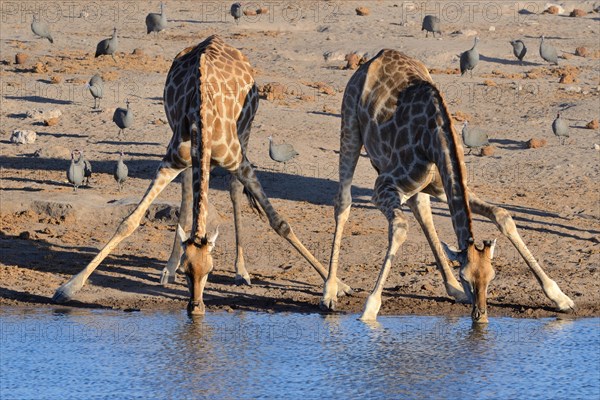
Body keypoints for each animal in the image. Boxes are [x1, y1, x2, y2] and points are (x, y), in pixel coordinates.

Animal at [52, 36, 352, 314]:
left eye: (210, 270)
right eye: (188, 271)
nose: (195, 307)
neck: (203, 121)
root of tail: (216, 38)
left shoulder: (239, 161)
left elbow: (280, 222)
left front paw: (337, 286)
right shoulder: (171, 160)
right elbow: (129, 222)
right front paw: (68, 287)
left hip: (245, 131)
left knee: (233, 189)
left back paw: (241, 270)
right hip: (184, 152)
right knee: (188, 191)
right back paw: (168, 268)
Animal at [322, 49, 576, 324]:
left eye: (492, 276)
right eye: (467, 276)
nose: (480, 316)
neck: (436, 140)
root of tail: (375, 57)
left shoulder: (445, 186)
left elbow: (502, 215)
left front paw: (560, 297)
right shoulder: (383, 186)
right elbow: (399, 228)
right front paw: (370, 309)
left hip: (420, 185)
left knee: (422, 211)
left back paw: (452, 288)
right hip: (350, 125)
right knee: (343, 202)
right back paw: (329, 292)